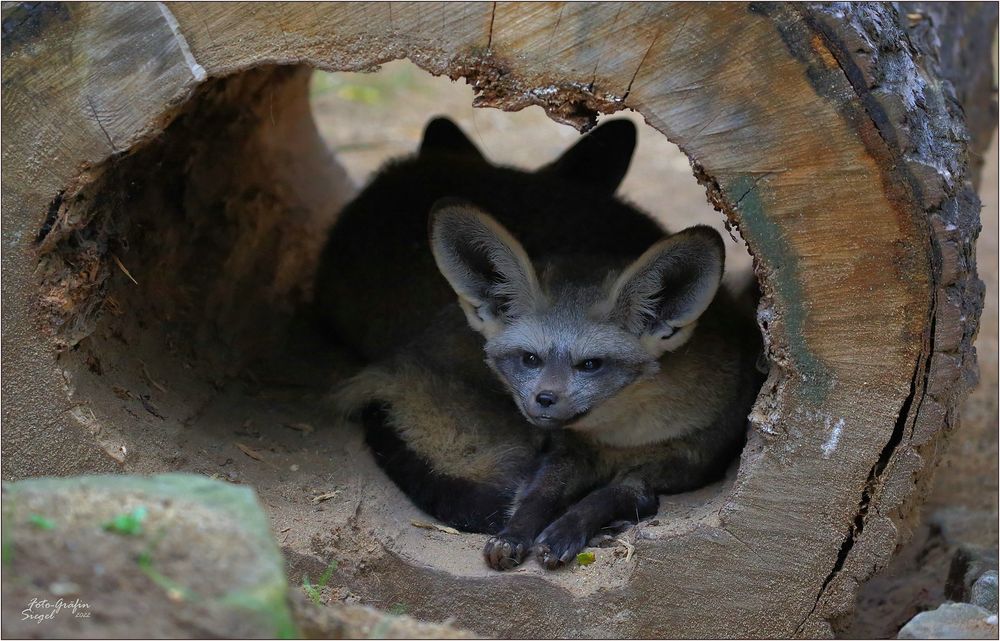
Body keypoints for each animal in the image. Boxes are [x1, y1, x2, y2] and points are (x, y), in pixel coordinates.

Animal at [320, 116, 764, 568]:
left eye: (591, 364)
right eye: (529, 358)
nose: (544, 400)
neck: (620, 437)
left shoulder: (677, 463)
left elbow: (613, 495)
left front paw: (567, 531)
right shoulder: (566, 452)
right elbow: (537, 496)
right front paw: (515, 535)